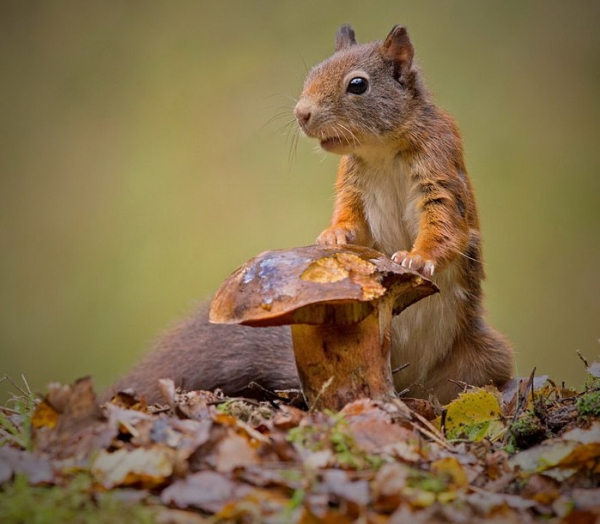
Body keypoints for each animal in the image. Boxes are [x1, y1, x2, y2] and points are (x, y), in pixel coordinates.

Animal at [105, 24, 512, 406]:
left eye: (358, 85)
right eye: (314, 72)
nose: (302, 114)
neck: (381, 149)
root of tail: (412, 383)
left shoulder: (439, 169)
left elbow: (444, 224)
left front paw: (417, 257)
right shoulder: (352, 187)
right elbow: (352, 220)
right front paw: (334, 234)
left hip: (485, 358)